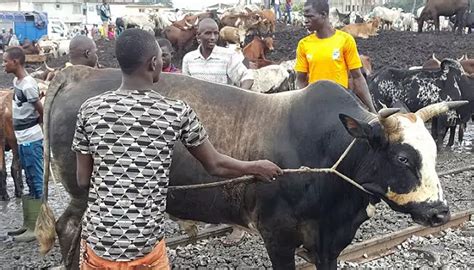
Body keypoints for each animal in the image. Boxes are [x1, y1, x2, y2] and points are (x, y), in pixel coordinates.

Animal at [36, 66, 462, 270]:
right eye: (403, 158)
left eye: (432, 152)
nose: (441, 212)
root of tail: (76, 71)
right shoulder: (278, 236)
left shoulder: (328, 244)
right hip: (85, 192)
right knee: (69, 229)